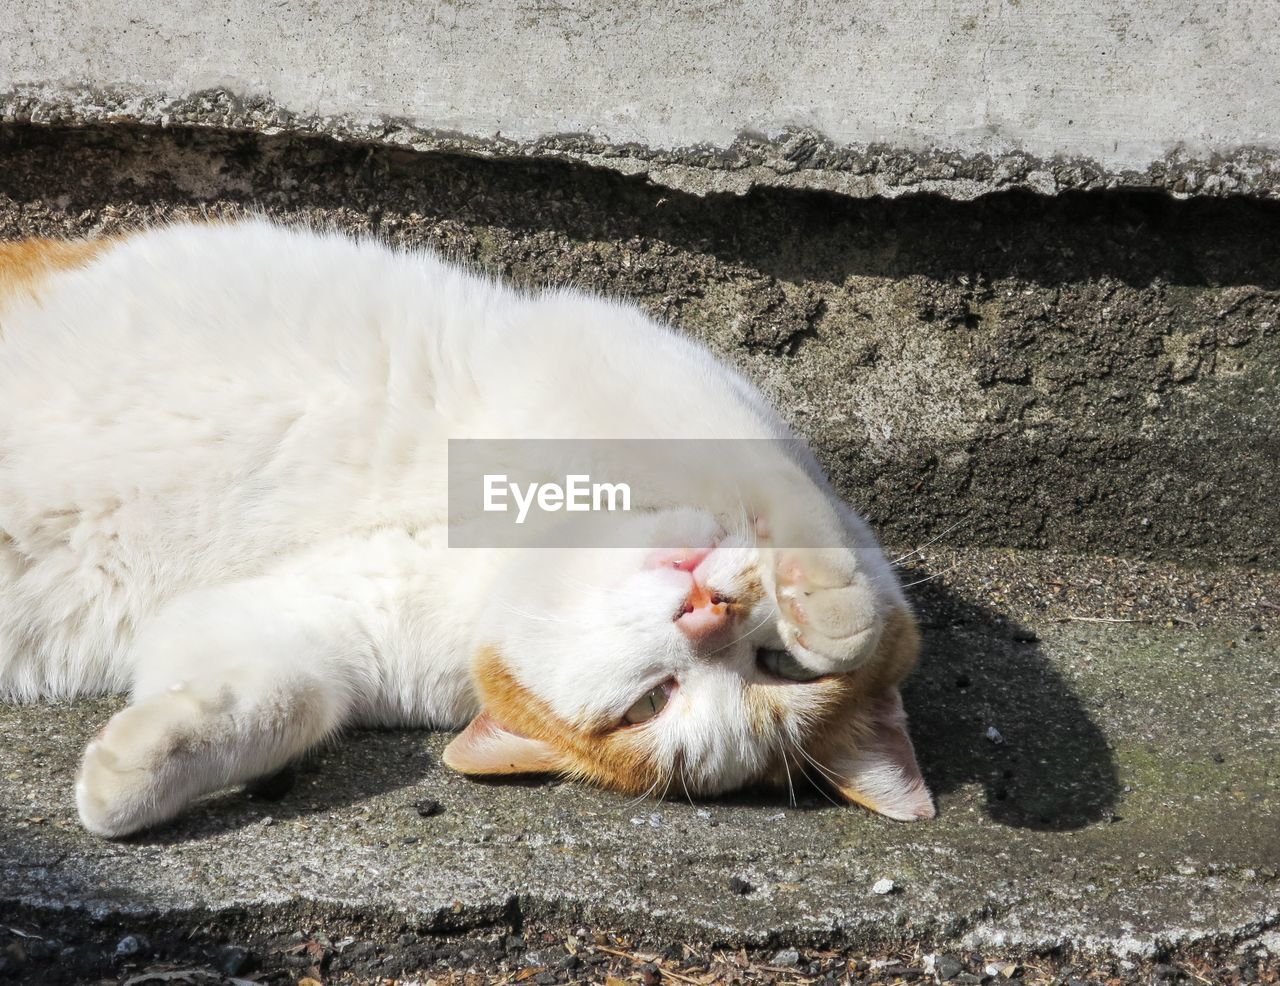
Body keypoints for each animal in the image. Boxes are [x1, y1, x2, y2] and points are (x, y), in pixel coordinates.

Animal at [2, 218, 942, 834]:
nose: (707, 614)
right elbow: (777, 488)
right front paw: (833, 610)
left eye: (651, 704)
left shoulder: (304, 625)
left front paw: (129, 779)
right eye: (781, 666)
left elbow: (284, 699)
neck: (505, 538)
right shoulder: (621, 357)